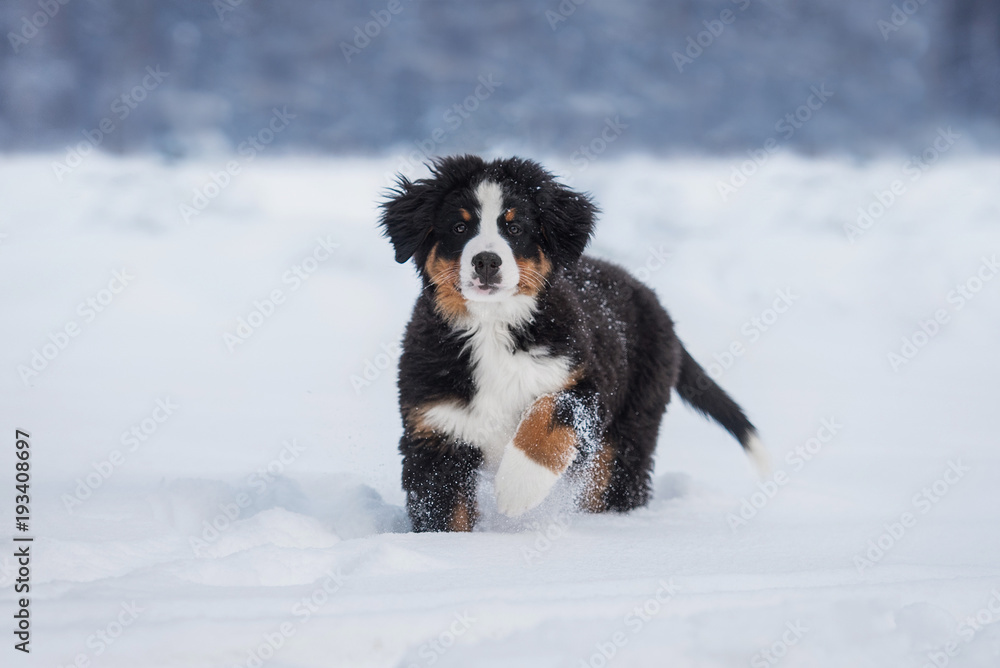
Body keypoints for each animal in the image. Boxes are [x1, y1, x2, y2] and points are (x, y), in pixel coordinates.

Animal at [376, 157, 764, 532]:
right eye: (459, 227)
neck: (492, 327)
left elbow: (549, 414)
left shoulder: (585, 382)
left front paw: (518, 486)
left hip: (629, 427)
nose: (486, 261)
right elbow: (444, 515)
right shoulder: (435, 431)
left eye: (515, 228)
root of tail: (653, 301)